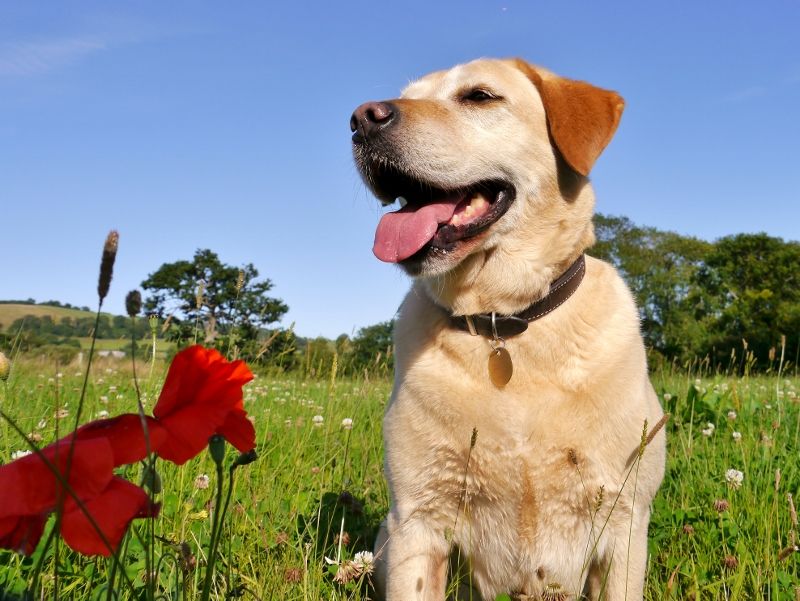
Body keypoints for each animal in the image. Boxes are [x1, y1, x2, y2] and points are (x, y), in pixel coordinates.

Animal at [352, 57, 668, 600]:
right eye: (408, 94)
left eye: (479, 96)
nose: (362, 119)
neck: (505, 322)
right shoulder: (418, 517)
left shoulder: (624, 517)